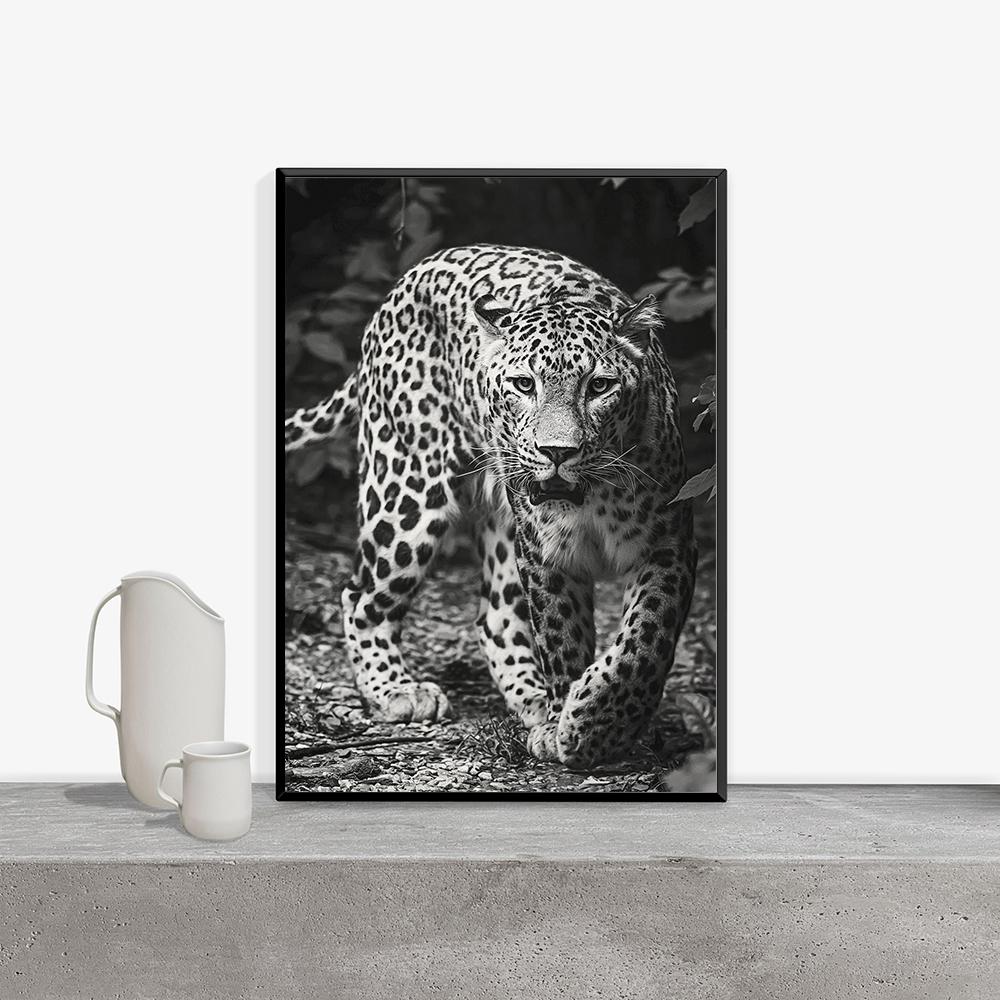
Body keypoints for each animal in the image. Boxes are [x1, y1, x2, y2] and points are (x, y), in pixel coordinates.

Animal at [285, 244, 697, 766]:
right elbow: (562, 637)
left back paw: (533, 700)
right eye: (524, 385)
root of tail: (405, 281)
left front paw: (594, 722)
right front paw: (572, 722)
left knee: (495, 617)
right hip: (406, 493)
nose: (556, 452)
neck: (593, 496)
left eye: (599, 387)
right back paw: (398, 690)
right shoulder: (544, 554)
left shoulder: (669, 544)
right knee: (361, 595)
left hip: (501, 523)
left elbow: (645, 641)